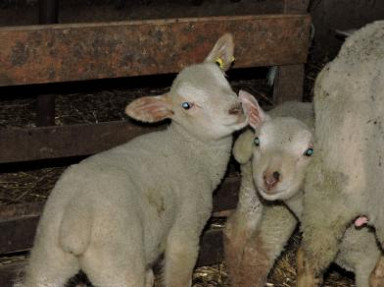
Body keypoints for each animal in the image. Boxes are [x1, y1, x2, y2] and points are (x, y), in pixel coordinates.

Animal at [20, 33, 255, 287]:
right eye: (186, 105)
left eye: (225, 79)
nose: (236, 109)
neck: (190, 149)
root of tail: (75, 217)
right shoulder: (186, 228)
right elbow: (179, 274)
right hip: (117, 262)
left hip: (48, 255)